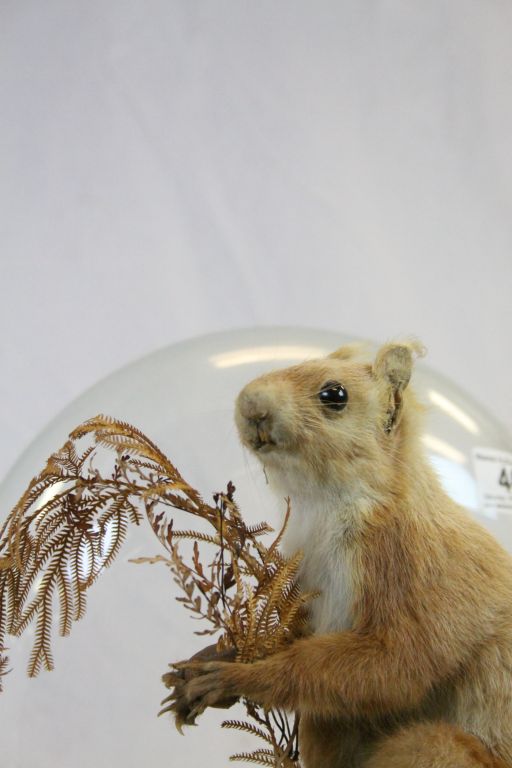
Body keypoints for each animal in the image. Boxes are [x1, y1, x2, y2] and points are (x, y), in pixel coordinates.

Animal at [170, 344, 512, 768]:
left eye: (335, 395)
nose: (251, 404)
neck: (325, 508)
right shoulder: (308, 586)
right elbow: (292, 634)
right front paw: (213, 661)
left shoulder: (414, 572)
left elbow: (393, 664)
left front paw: (234, 678)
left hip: (435, 748)